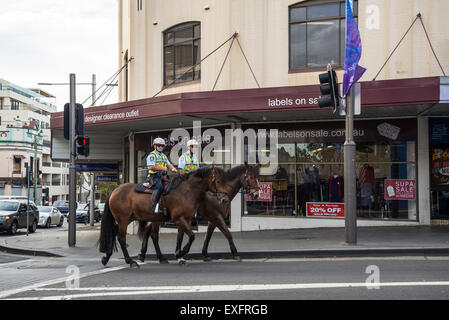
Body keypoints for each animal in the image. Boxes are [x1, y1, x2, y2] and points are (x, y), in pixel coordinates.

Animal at [99, 166, 229, 268]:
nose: (225, 199)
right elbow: (192, 236)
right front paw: (180, 254)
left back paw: (107, 258)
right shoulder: (179, 219)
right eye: (218, 181)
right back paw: (131, 262)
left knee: (115, 232)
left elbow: (180, 237)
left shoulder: (184, 219)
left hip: (129, 218)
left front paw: (179, 255)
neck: (186, 191)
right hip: (123, 219)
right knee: (121, 238)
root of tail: (115, 190)